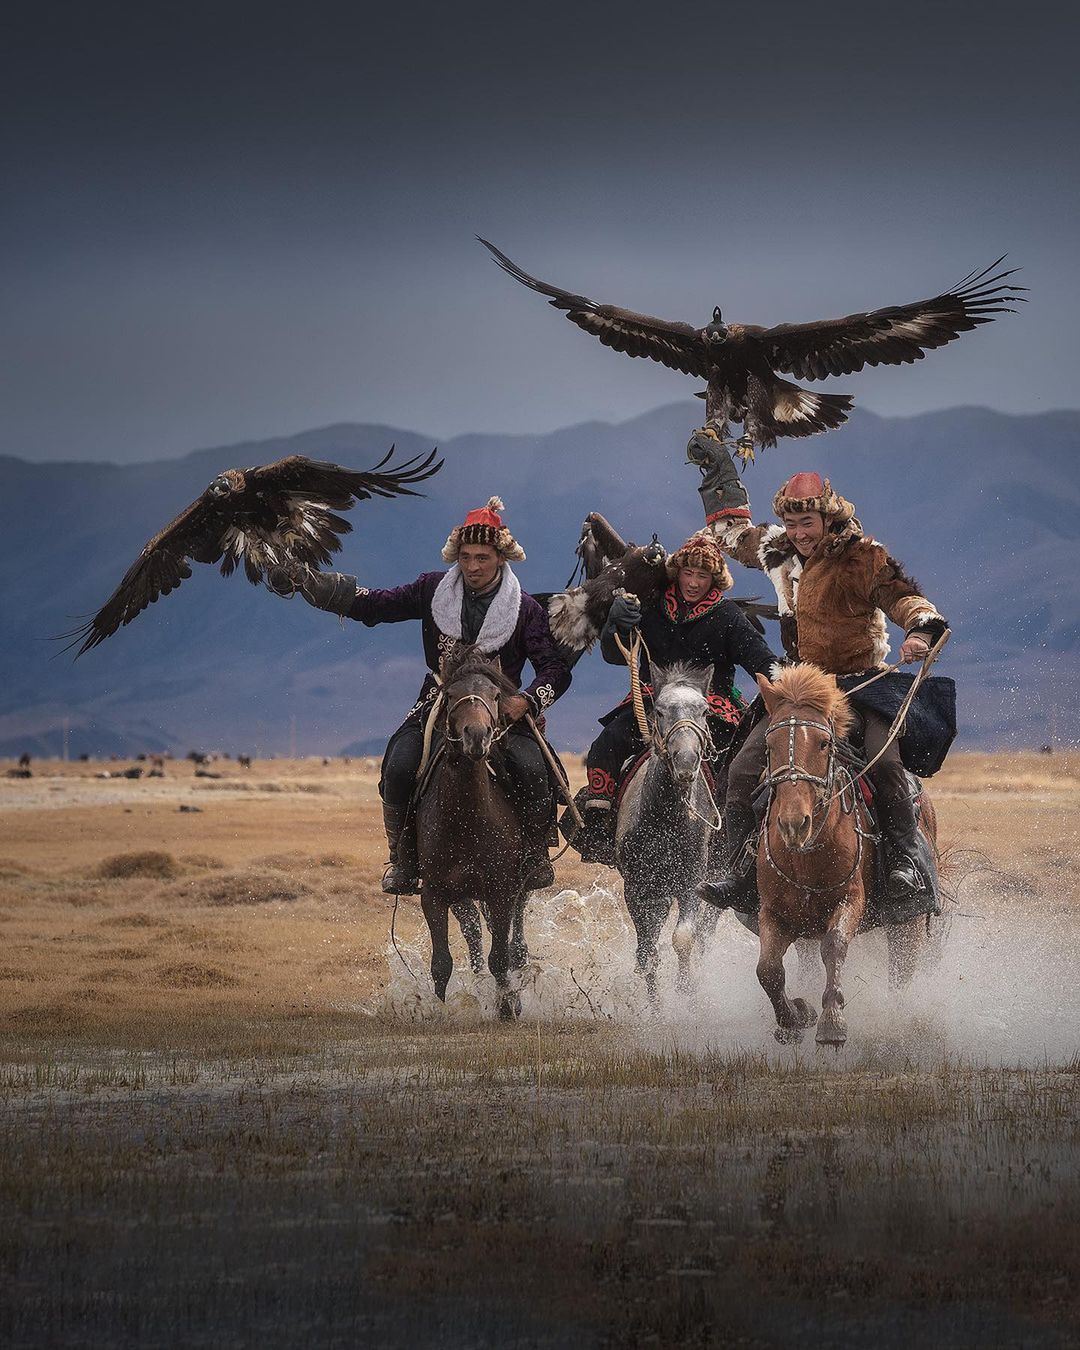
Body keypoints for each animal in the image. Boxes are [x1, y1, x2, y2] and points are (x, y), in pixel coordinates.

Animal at [413, 648, 531, 1015]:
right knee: (475, 935)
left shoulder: (501, 891)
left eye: (495, 695)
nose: (476, 736)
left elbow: (501, 957)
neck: (467, 819)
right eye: (450, 695)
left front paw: (507, 1005)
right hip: (463, 895)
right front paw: (438, 1010)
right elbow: (442, 961)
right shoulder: (435, 893)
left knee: (514, 940)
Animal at [750, 664, 934, 1042]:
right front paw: (795, 1017)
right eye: (768, 745)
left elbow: (834, 946)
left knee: (901, 975)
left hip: (907, 922)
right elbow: (768, 970)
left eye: (824, 743)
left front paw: (831, 1021)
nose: (793, 823)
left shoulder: (850, 899)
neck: (805, 855)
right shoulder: (773, 912)